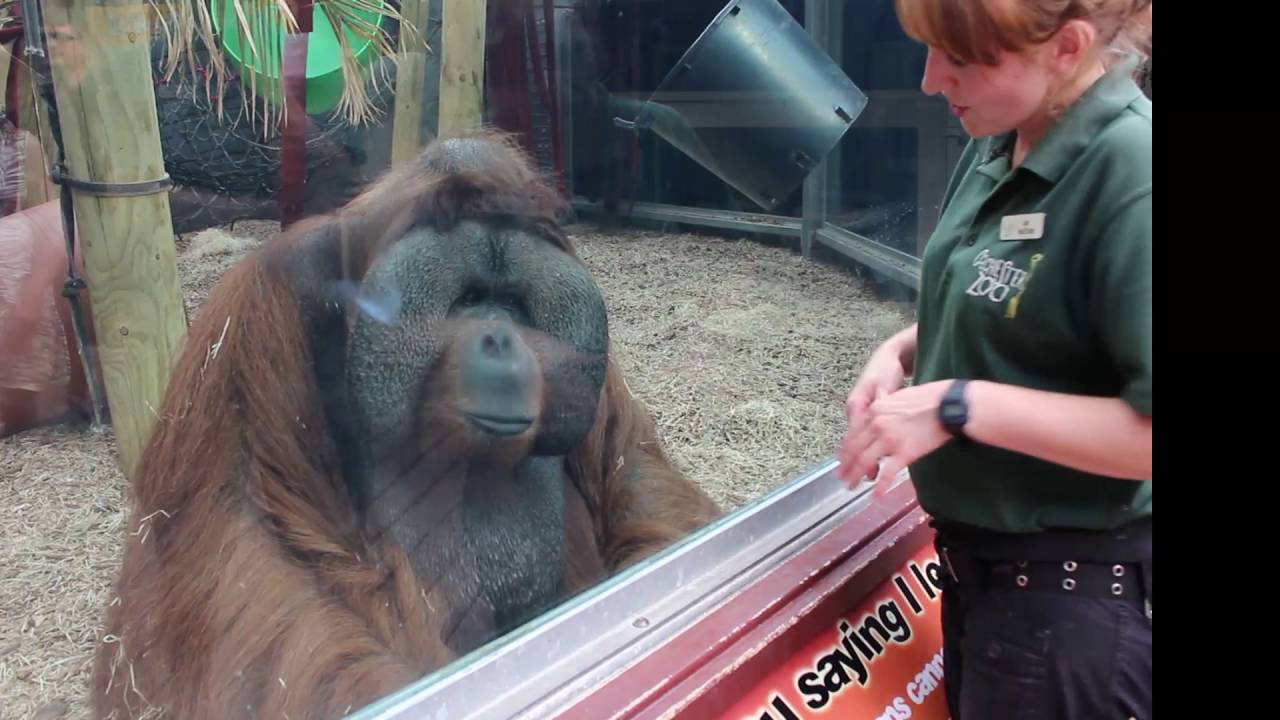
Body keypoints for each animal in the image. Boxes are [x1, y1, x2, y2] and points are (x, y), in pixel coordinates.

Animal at [90, 128, 722, 719]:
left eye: (516, 305)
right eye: (467, 299)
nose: (502, 337)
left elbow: (630, 474)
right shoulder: (258, 315)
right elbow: (249, 543)